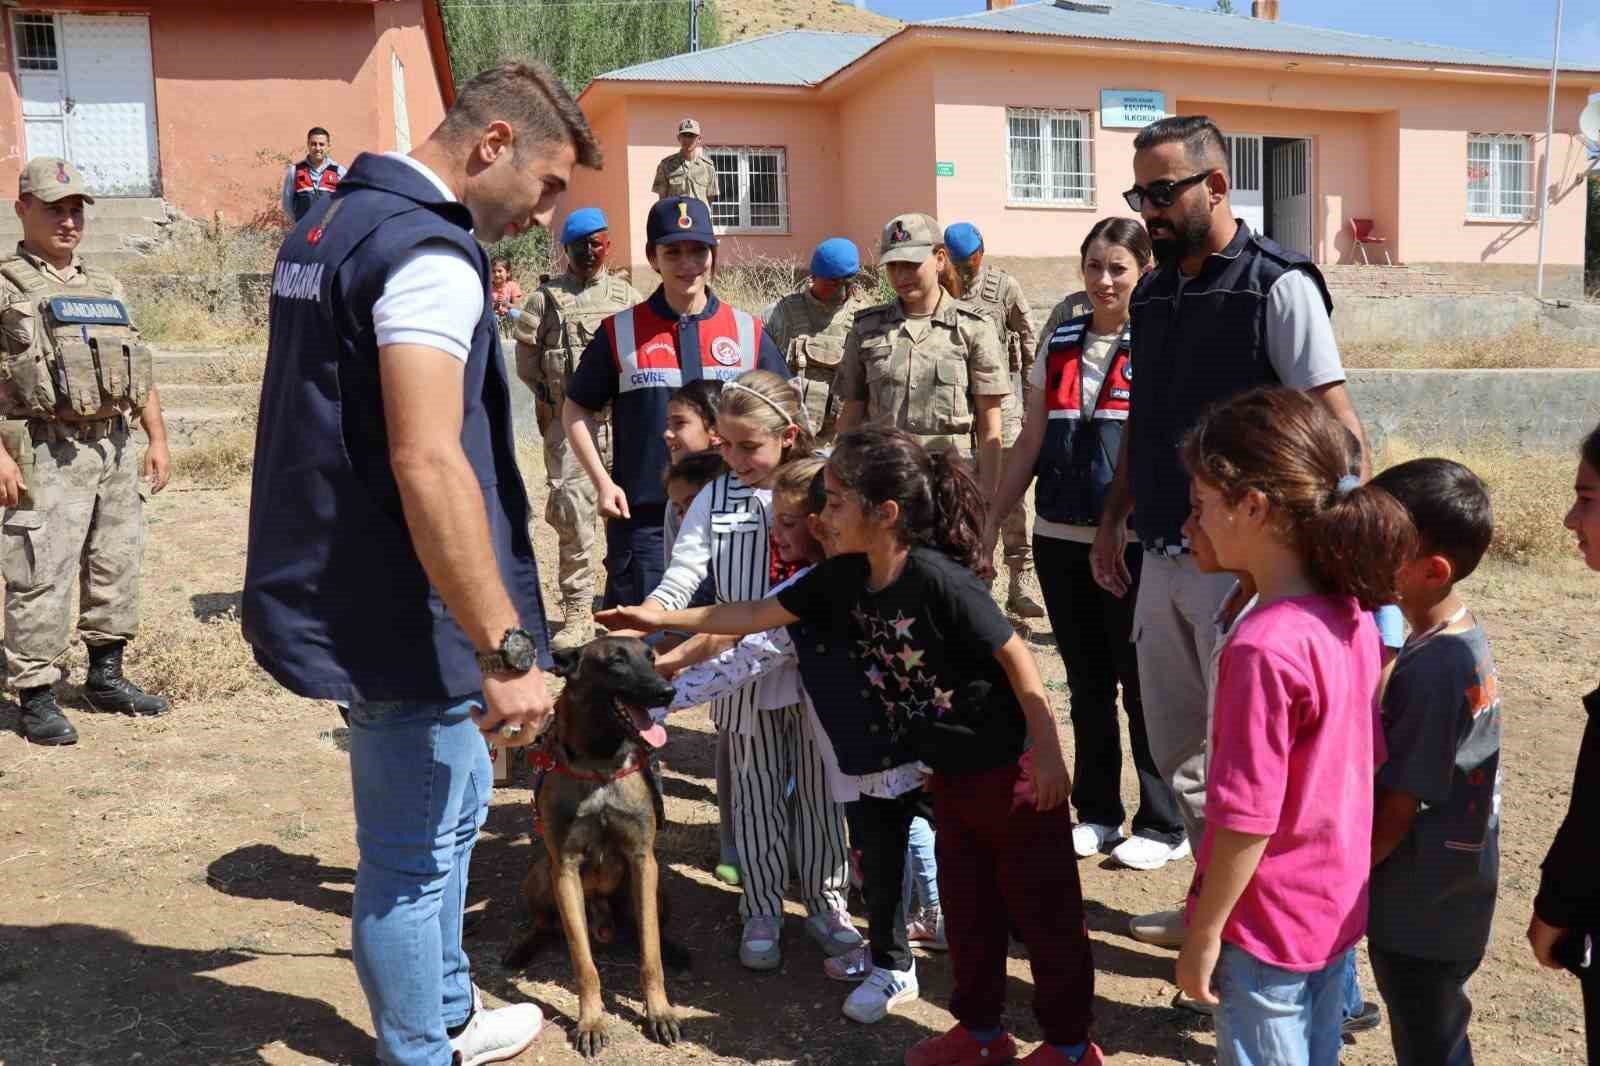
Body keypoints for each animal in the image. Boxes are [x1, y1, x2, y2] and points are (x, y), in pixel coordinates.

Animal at [502, 630, 684, 1056]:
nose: (667, 691)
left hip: (659, 887)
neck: (600, 764)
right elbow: (583, 963)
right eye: (616, 661)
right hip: (541, 875)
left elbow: (650, 952)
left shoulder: (642, 860)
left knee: (648, 927)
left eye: (652, 658)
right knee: (544, 923)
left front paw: (660, 1012)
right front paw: (590, 1021)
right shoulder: (565, 868)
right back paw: (523, 947)